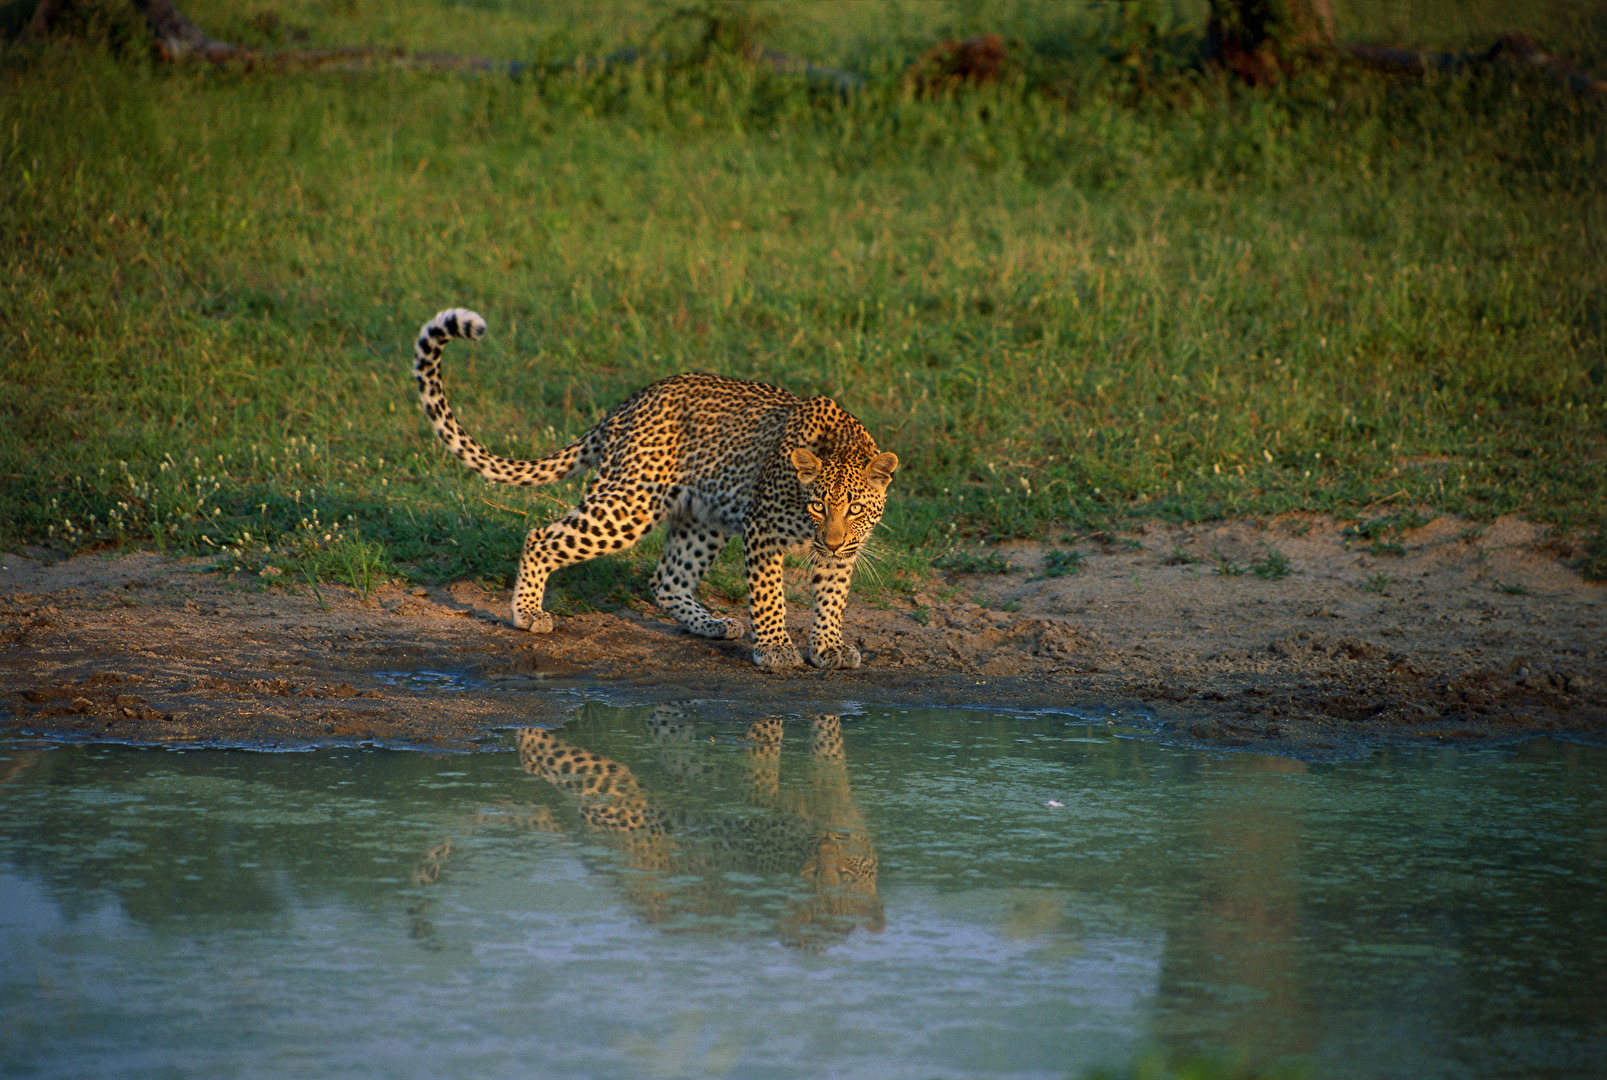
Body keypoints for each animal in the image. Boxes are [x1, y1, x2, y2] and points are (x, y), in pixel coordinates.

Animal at [413, 307, 898, 671]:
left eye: (855, 509)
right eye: (817, 506)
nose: (830, 542)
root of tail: (626, 405)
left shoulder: (841, 552)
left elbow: (832, 596)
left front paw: (829, 647)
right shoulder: (762, 531)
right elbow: (768, 595)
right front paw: (777, 649)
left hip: (702, 517)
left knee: (667, 579)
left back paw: (713, 625)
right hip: (631, 502)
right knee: (541, 535)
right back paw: (528, 613)